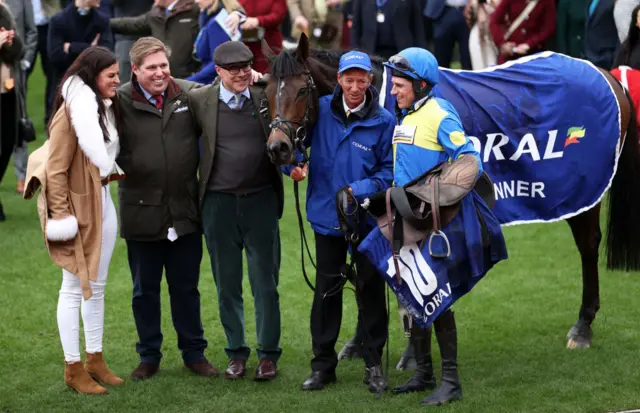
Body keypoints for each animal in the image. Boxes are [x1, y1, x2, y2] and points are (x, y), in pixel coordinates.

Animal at [260, 33, 640, 364]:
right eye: (267, 93)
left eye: (302, 89)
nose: (278, 148)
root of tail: (607, 75)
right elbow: (363, 267)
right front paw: (357, 342)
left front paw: (408, 351)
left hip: (584, 192)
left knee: (588, 246)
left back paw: (583, 327)